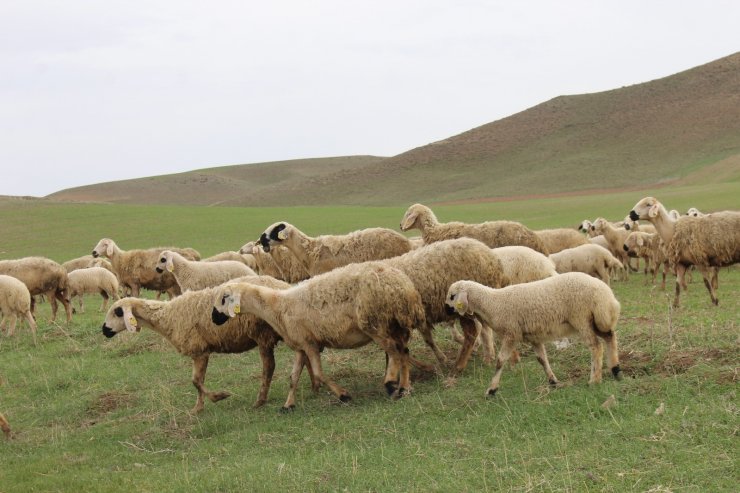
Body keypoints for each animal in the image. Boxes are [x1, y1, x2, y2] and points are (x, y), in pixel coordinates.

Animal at [99, 274, 290, 414]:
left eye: (117, 312)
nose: (104, 330)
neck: (166, 317)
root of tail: (284, 288)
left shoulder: (199, 350)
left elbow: (196, 381)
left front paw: (219, 396)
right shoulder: (199, 351)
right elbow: (198, 381)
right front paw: (198, 408)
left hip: (262, 333)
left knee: (269, 367)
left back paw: (260, 400)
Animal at [211, 264, 424, 410]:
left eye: (224, 298)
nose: (213, 318)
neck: (277, 307)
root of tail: (402, 286)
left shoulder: (310, 344)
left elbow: (319, 374)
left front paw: (343, 395)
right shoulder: (300, 346)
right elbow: (293, 377)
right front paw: (288, 405)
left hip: (375, 323)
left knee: (394, 351)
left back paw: (390, 385)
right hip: (395, 324)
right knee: (404, 351)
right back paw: (405, 388)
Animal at [448, 272, 620, 396]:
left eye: (452, 296)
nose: (447, 311)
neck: (492, 303)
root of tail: (606, 294)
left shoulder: (511, 334)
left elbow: (500, 361)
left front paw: (492, 389)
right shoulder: (534, 337)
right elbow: (542, 359)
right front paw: (553, 381)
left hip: (582, 318)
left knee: (596, 346)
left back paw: (594, 380)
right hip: (597, 320)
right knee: (610, 337)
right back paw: (615, 370)